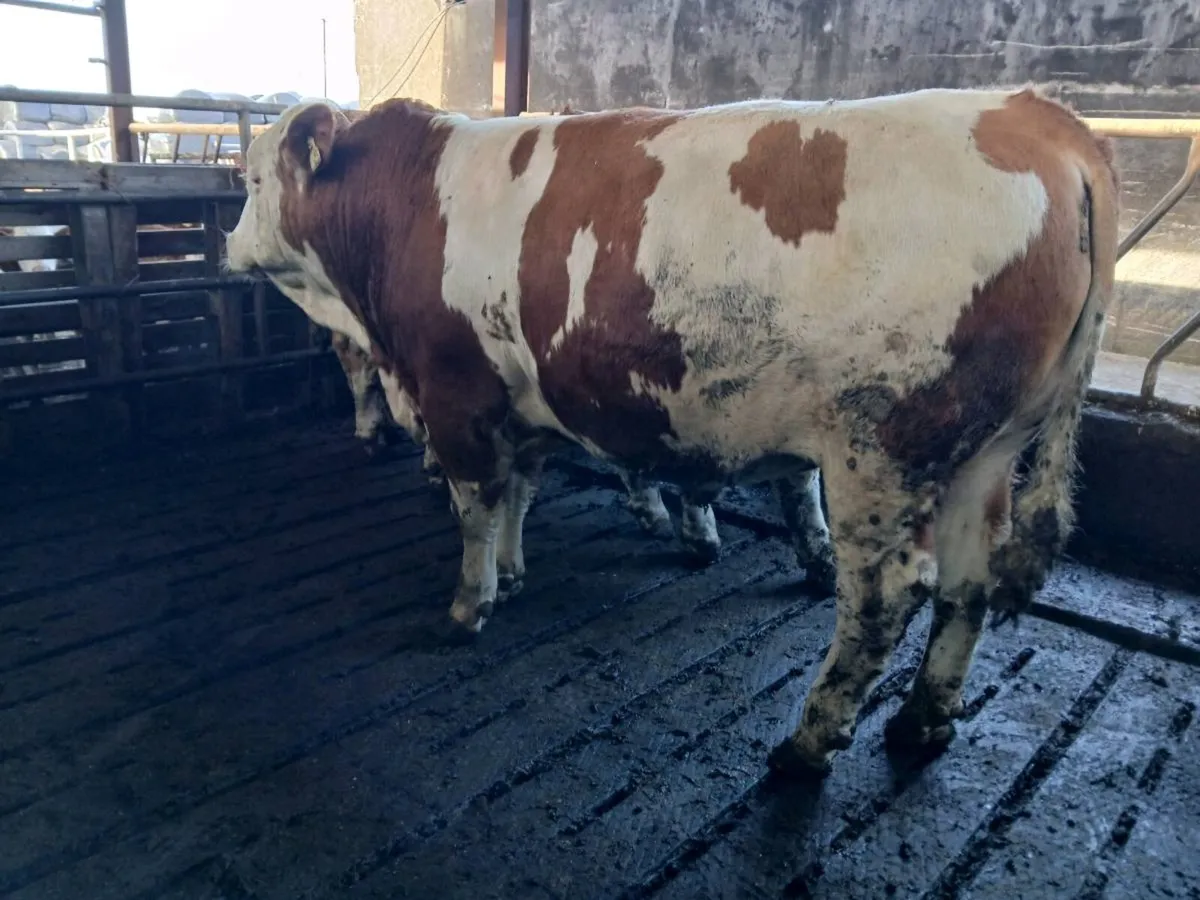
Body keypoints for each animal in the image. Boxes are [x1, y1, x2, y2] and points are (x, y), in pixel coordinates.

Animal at [223, 86, 1118, 777]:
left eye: (254, 177)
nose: (228, 243)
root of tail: (1037, 116)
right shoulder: (519, 400)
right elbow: (519, 489)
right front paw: (513, 571)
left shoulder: (455, 390)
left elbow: (477, 503)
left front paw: (469, 604)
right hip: (983, 455)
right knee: (967, 587)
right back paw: (921, 723)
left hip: (882, 451)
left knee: (885, 599)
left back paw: (807, 743)